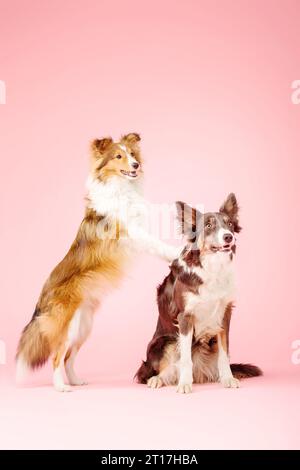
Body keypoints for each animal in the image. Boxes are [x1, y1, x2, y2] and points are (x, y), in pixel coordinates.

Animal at [16, 134, 179, 392]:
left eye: (132, 154)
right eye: (118, 156)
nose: (136, 165)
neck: (119, 186)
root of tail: (40, 300)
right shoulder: (130, 231)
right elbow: (156, 243)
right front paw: (176, 251)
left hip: (84, 326)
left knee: (68, 357)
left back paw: (75, 380)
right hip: (68, 326)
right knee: (56, 356)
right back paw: (61, 387)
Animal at [137, 194, 262, 392]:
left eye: (229, 224)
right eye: (209, 226)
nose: (228, 237)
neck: (212, 267)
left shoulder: (224, 314)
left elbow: (225, 353)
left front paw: (228, 378)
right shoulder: (185, 317)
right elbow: (185, 359)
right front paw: (184, 383)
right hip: (165, 342)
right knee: (166, 368)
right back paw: (158, 379)